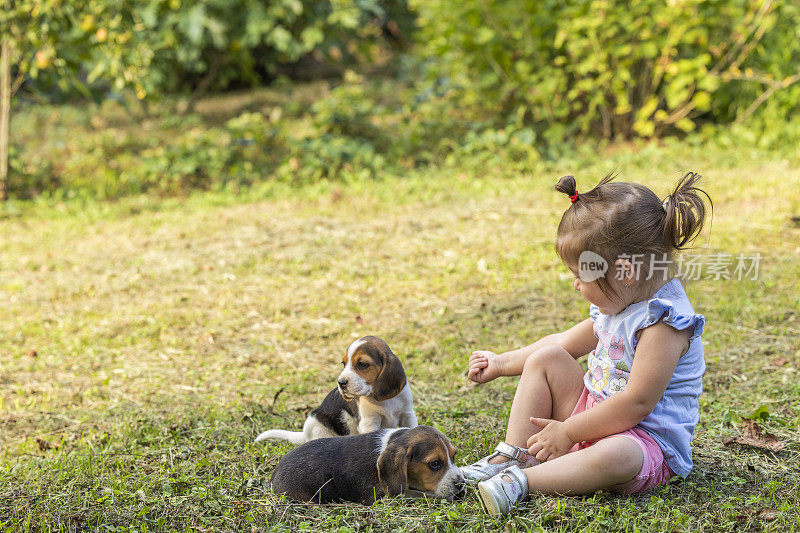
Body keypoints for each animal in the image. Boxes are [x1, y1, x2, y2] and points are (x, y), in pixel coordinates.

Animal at [256, 336, 418, 444]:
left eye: (362, 364)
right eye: (343, 363)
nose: (341, 383)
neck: (384, 400)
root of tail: (304, 435)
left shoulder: (408, 415)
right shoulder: (369, 423)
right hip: (317, 425)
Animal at [270, 424, 466, 502]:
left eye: (454, 455)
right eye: (435, 464)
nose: (460, 484)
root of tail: (273, 476)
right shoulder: (393, 495)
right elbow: (430, 496)